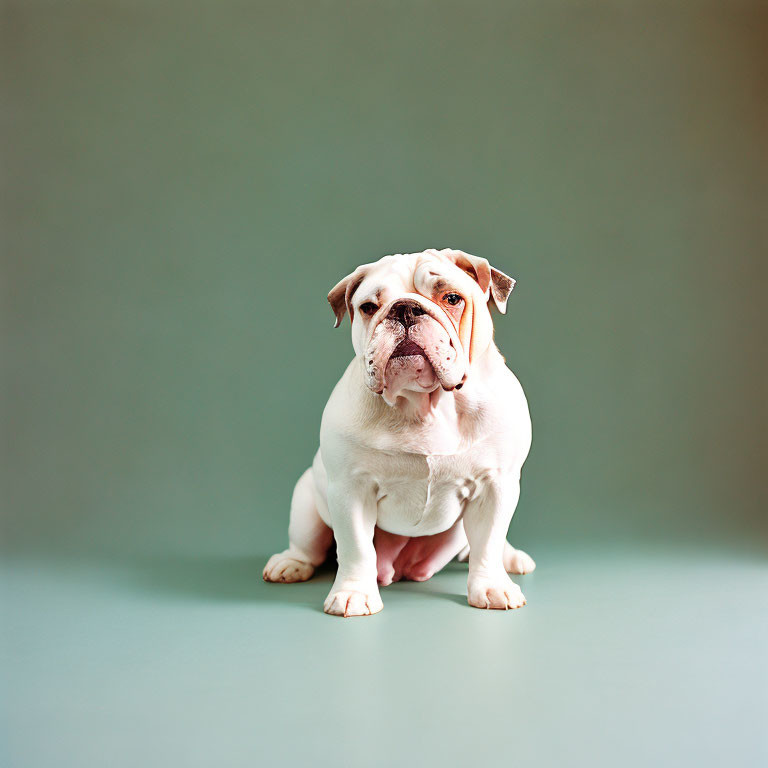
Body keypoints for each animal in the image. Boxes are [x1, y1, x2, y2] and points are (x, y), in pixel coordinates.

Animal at [264, 249, 536, 616]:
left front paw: (491, 586)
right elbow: (356, 547)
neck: (424, 403)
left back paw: (512, 557)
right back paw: (290, 563)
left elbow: (489, 542)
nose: (405, 309)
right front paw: (353, 593)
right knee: (308, 544)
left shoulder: (495, 485)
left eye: (451, 299)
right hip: (306, 498)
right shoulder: (350, 489)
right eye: (368, 307)